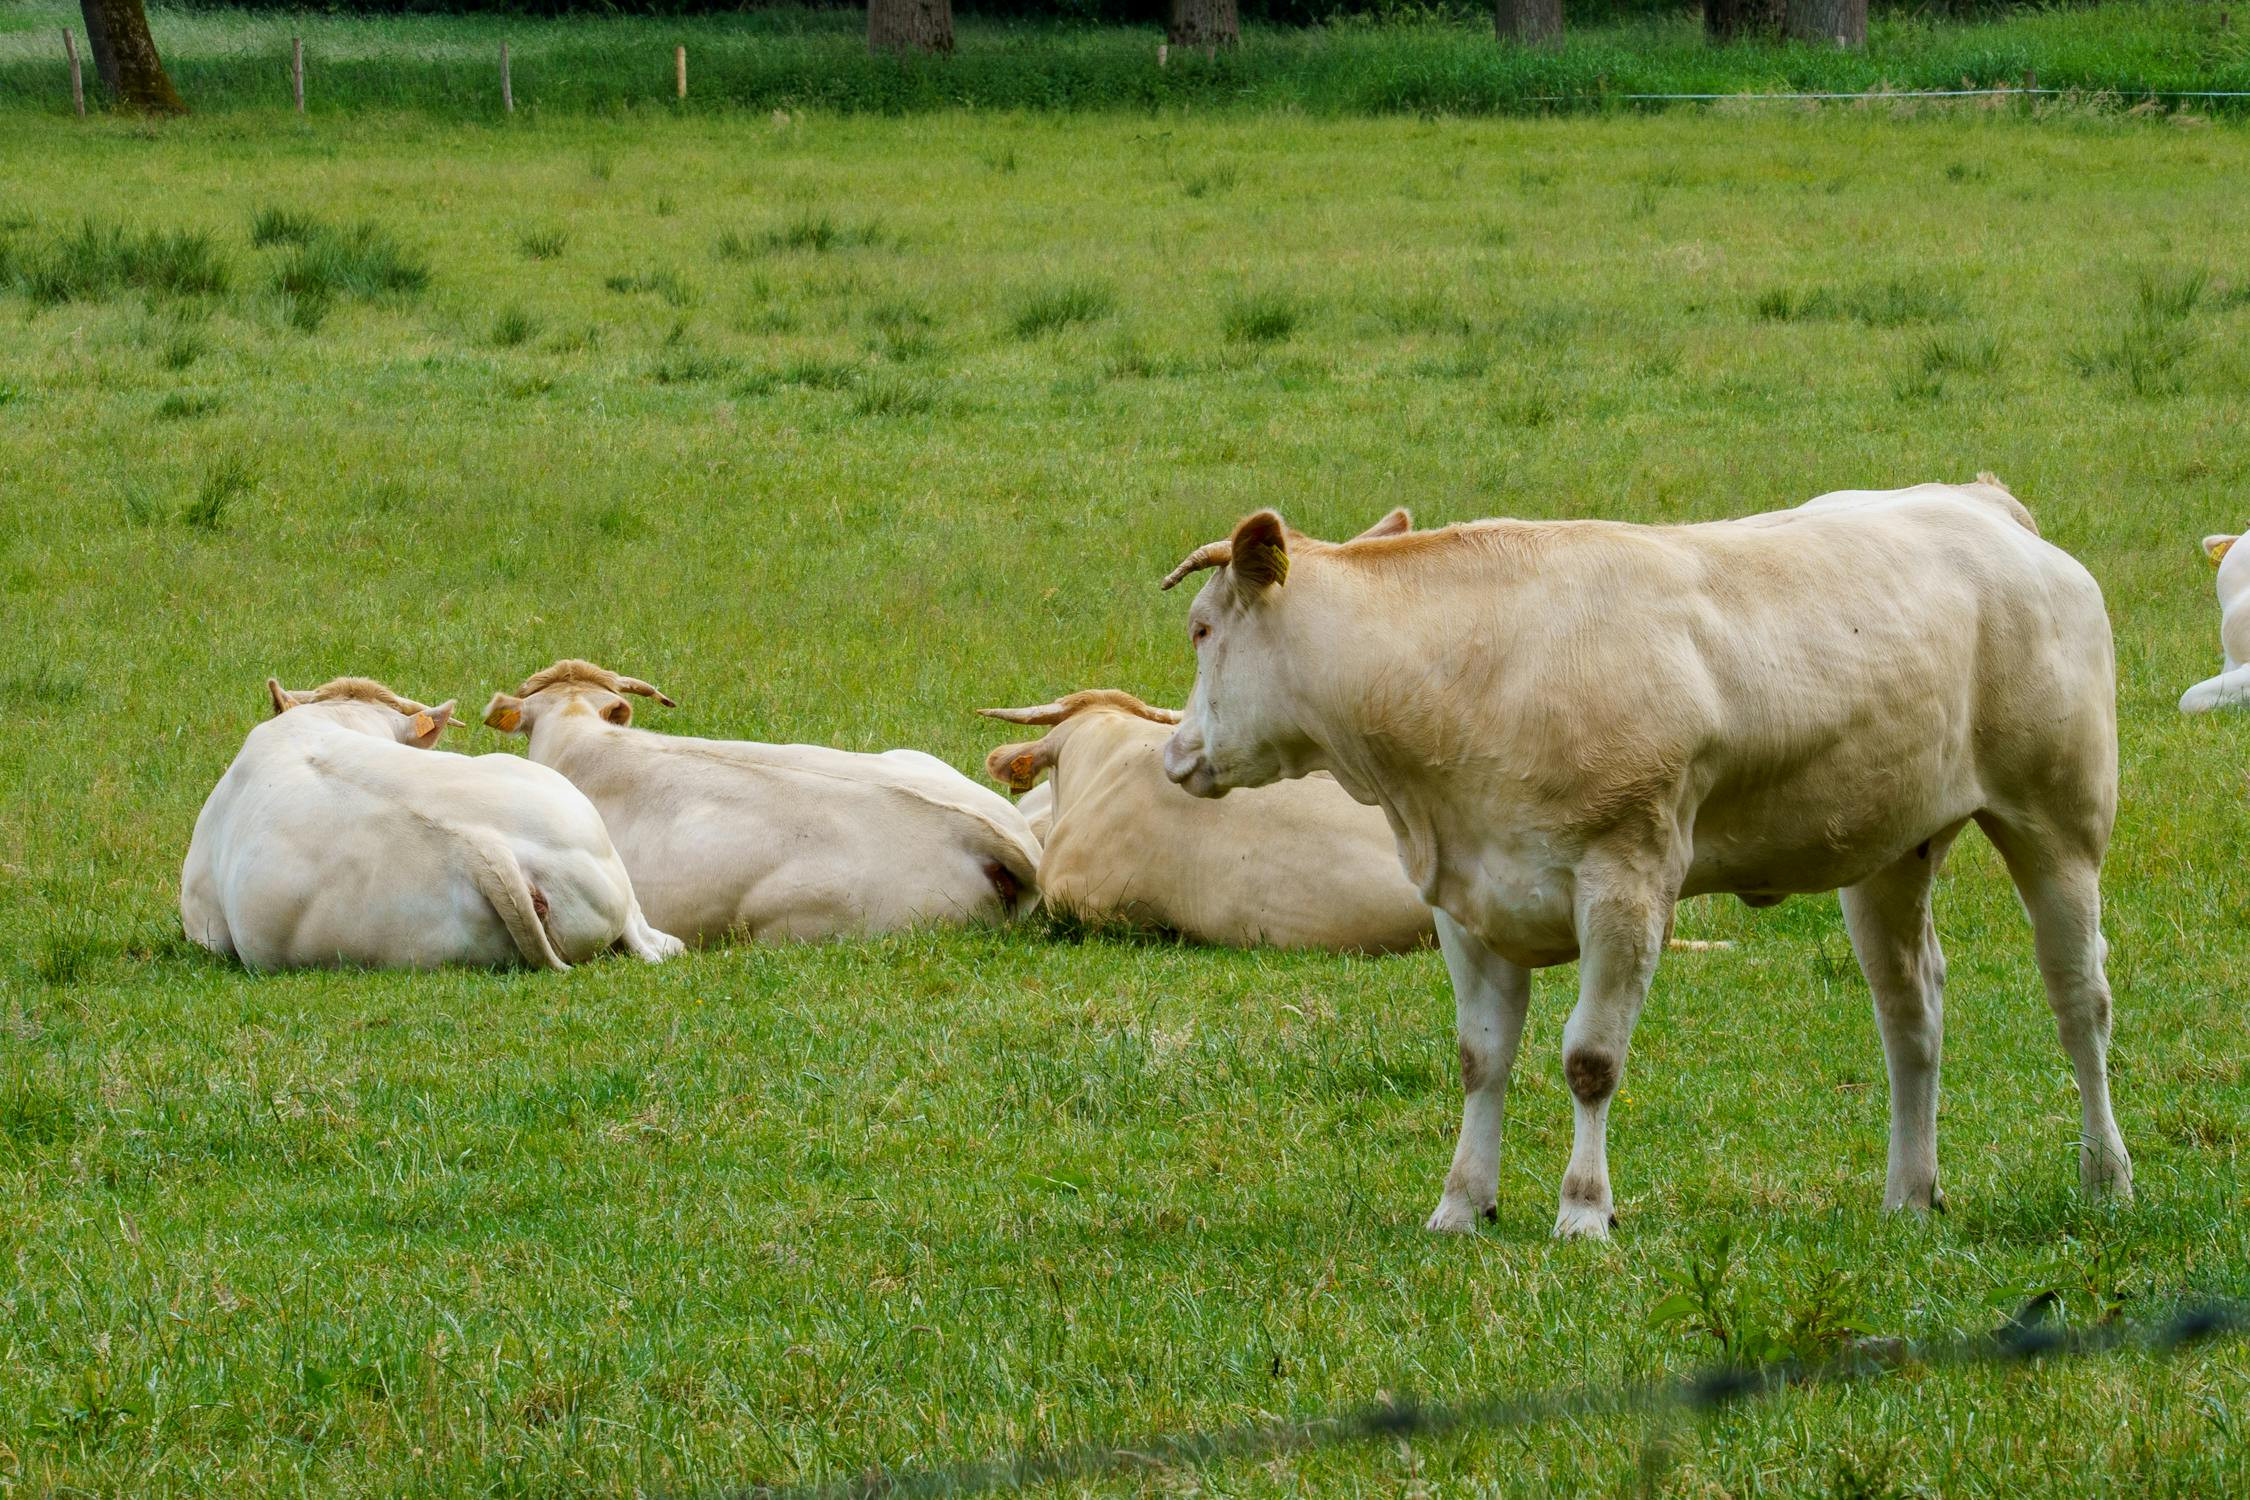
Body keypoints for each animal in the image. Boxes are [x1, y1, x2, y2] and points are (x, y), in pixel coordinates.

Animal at [1156, 480, 2130, 1238]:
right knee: (1911, 1012)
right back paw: (1908, 1194)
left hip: (2058, 822)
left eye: (1202, 629)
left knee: (2079, 1000)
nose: (1172, 754)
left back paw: (2105, 1177)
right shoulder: (1467, 900)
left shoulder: (1627, 880)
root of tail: (1981, 503)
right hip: (1888, 850)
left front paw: (1584, 1210)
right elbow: (1480, 1059)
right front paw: (1461, 1204)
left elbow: (1591, 1058)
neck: (1470, 672)